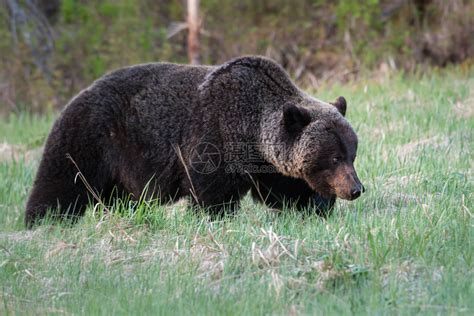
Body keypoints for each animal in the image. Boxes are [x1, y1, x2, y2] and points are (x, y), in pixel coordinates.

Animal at [25, 55, 362, 226]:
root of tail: (77, 95)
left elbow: (287, 189)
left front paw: (316, 206)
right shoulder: (213, 135)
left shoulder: (266, 164)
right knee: (61, 182)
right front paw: (215, 218)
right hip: (90, 138)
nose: (356, 189)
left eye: (352, 154)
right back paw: (43, 221)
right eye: (334, 157)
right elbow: (210, 191)